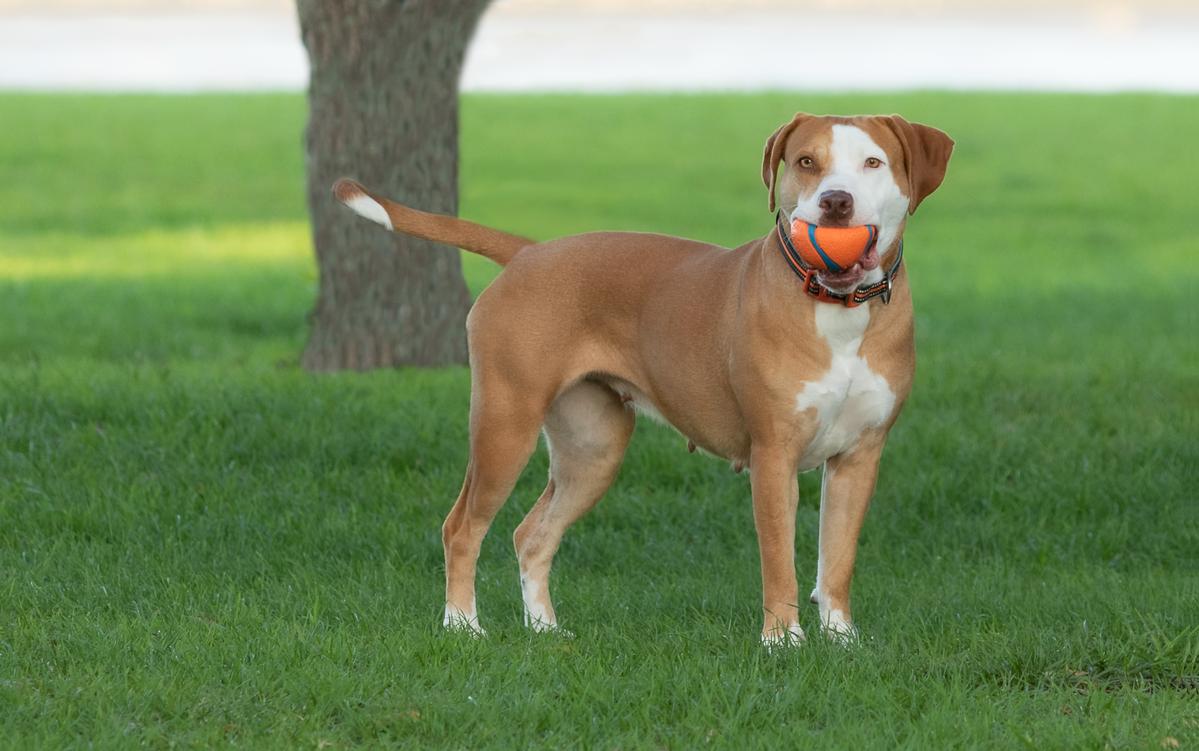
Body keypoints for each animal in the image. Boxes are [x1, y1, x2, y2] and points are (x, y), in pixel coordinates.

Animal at [333, 112, 949, 643]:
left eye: (872, 162)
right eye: (805, 162)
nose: (835, 202)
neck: (839, 307)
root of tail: (529, 253)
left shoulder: (858, 458)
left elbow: (836, 561)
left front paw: (843, 642)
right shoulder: (773, 456)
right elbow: (779, 561)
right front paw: (783, 643)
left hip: (593, 450)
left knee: (532, 535)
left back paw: (546, 631)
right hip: (504, 427)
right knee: (461, 527)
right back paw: (464, 627)